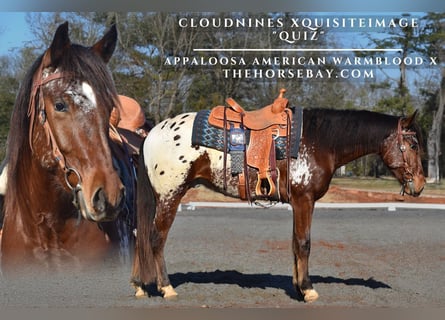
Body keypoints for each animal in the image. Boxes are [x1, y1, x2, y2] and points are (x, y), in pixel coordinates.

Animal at [131, 91, 424, 302]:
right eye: (413, 145)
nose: (420, 185)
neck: (319, 141)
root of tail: (152, 134)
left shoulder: (298, 202)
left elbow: (295, 242)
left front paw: (298, 287)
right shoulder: (305, 200)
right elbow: (304, 243)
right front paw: (308, 290)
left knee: (140, 235)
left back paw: (140, 286)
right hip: (170, 196)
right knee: (155, 238)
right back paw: (166, 288)